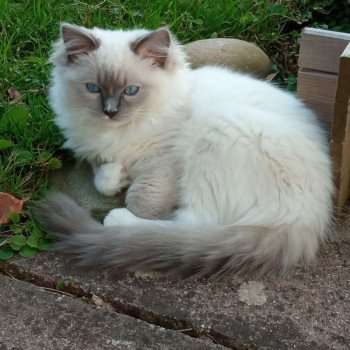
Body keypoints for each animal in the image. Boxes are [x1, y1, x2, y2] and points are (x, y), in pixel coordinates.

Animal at [34, 23, 334, 278]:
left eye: (131, 90)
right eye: (93, 88)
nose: (110, 112)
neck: (120, 131)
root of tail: (306, 219)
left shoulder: (163, 160)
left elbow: (143, 201)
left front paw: (127, 194)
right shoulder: (95, 151)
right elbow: (104, 179)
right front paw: (119, 176)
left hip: (214, 139)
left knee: (193, 224)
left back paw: (119, 221)